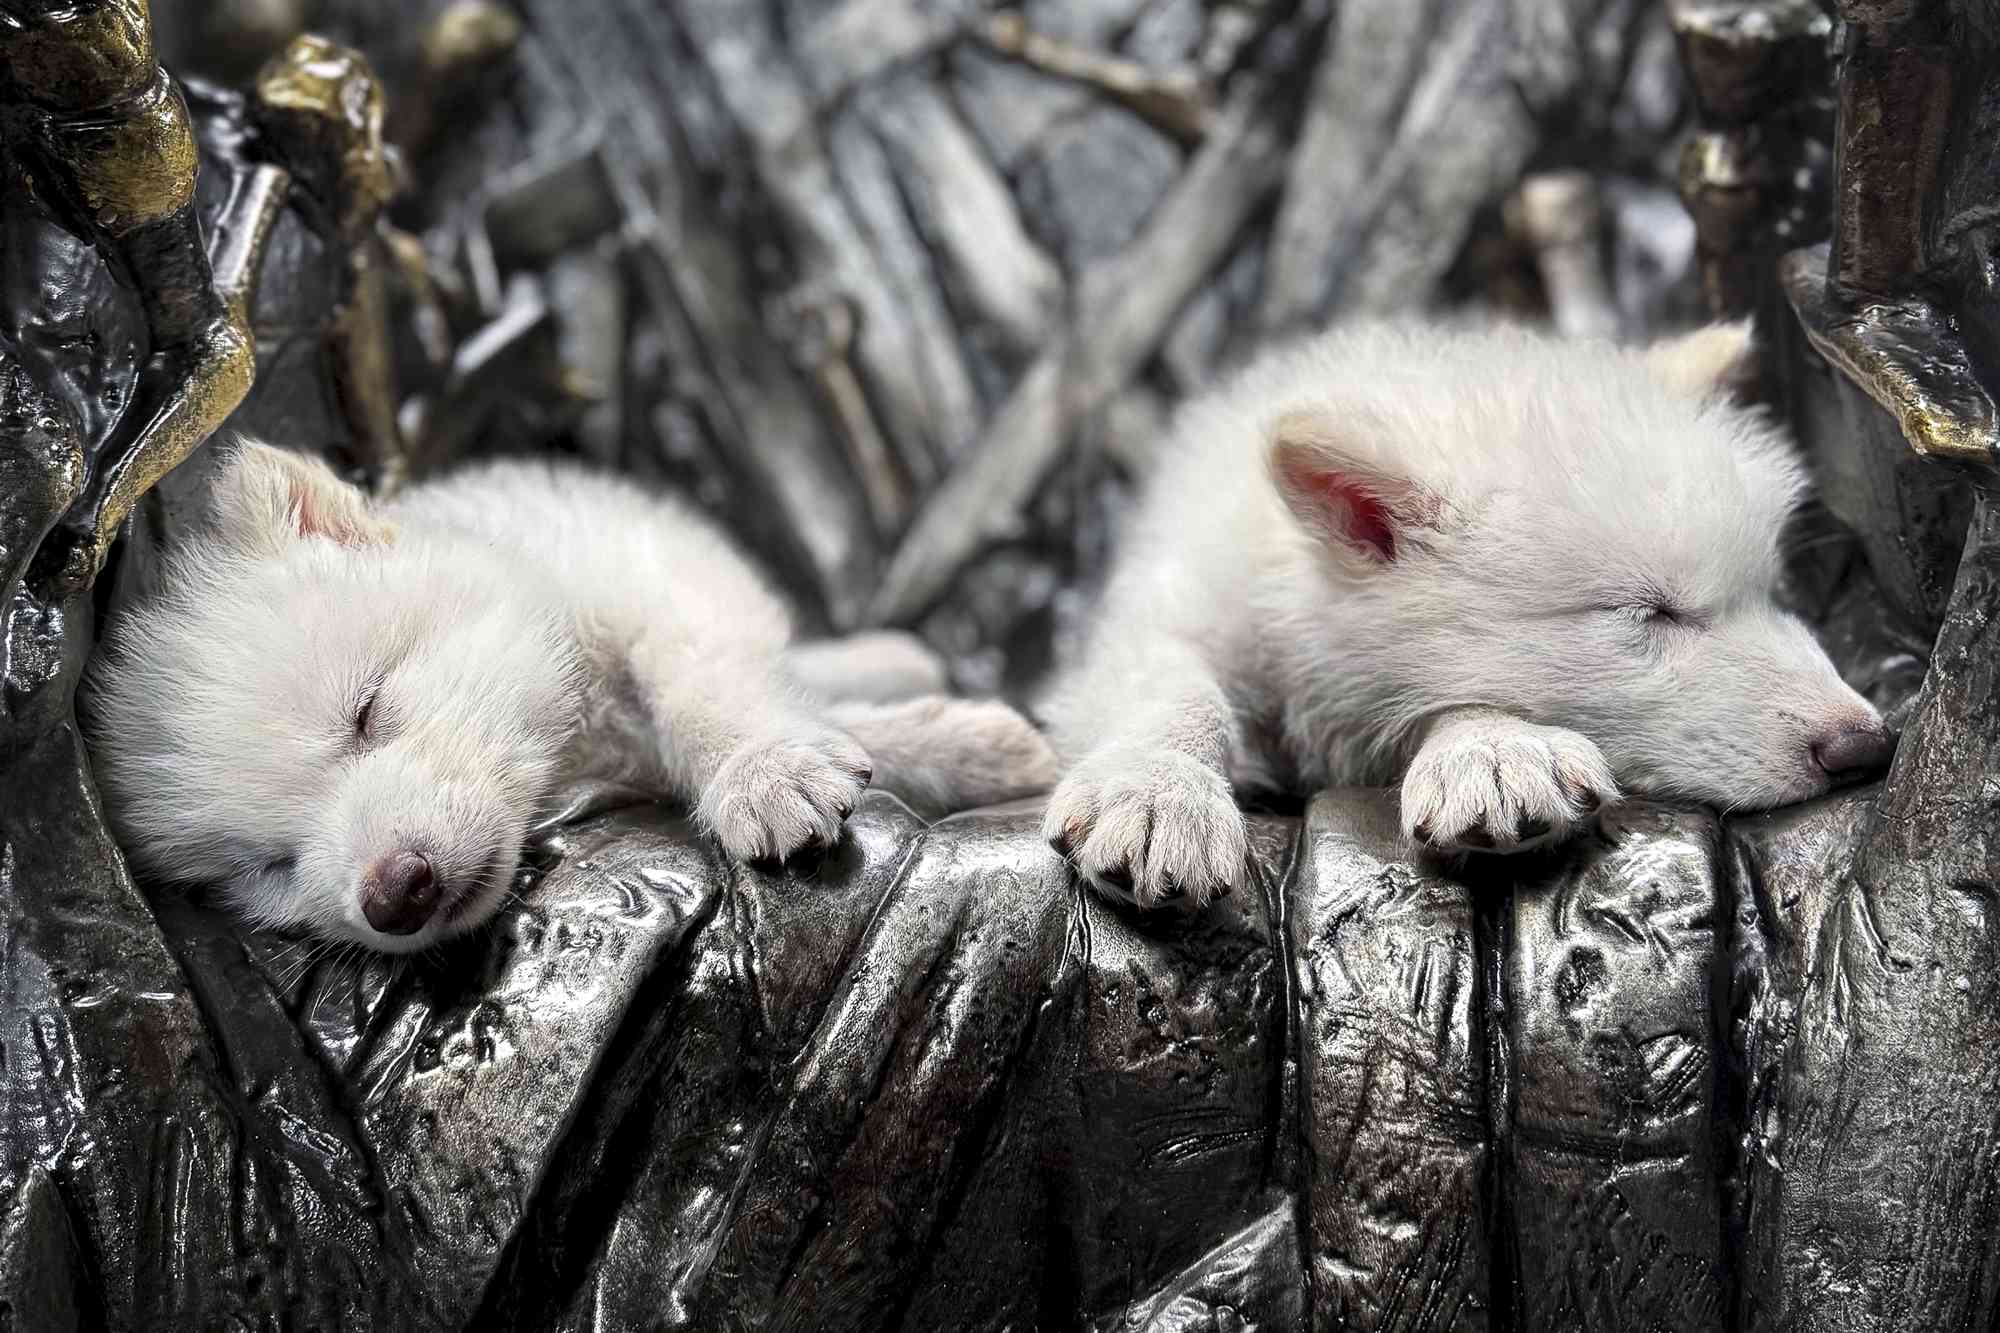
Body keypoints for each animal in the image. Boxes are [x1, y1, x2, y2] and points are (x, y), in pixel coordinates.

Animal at [82, 442, 1056, 951]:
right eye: (270, 867)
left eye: (366, 711)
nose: (393, 894)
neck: (574, 743)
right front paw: (961, 747)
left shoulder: (658, 587)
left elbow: (704, 685)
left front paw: (764, 768)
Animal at [1040, 318, 1895, 908]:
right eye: (1650, 612)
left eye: (1770, 594)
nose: (1868, 745)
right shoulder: (1171, 605)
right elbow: (1175, 686)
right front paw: (1156, 790)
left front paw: (1492, 748)